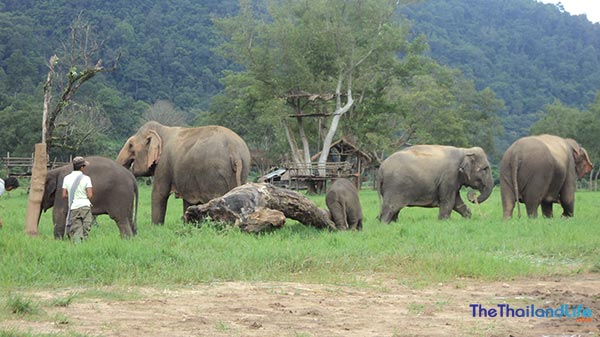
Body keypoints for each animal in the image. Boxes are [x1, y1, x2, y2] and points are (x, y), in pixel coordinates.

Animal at [116, 121, 250, 223]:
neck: (162, 130)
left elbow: (159, 194)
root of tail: (235, 152)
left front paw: (156, 227)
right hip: (242, 169)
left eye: (130, 145)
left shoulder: (163, 163)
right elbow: (188, 202)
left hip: (215, 175)